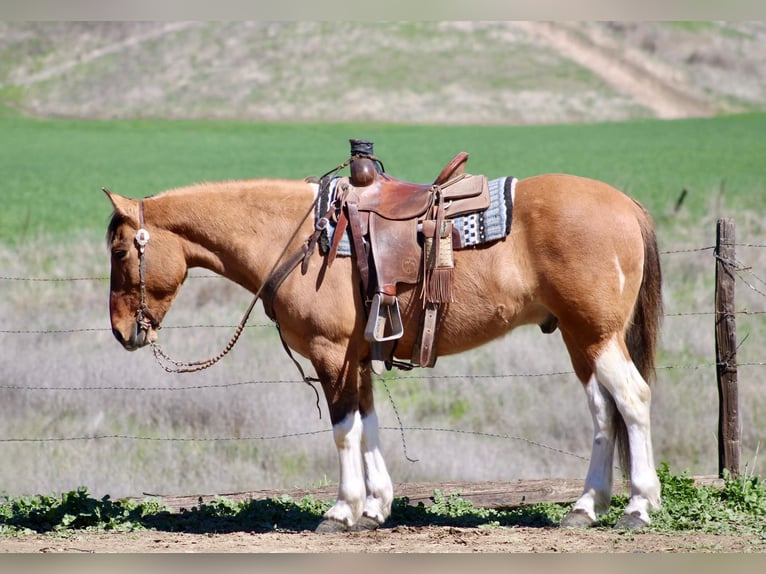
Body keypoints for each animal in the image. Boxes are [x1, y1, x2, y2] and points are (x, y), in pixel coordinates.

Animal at [105, 169, 663, 531]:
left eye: (119, 250)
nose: (121, 332)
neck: (302, 237)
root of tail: (627, 205)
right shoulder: (357, 357)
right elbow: (369, 424)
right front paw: (375, 509)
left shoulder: (331, 354)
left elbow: (344, 430)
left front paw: (342, 510)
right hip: (580, 338)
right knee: (602, 410)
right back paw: (586, 507)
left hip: (596, 335)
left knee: (633, 400)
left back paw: (637, 507)